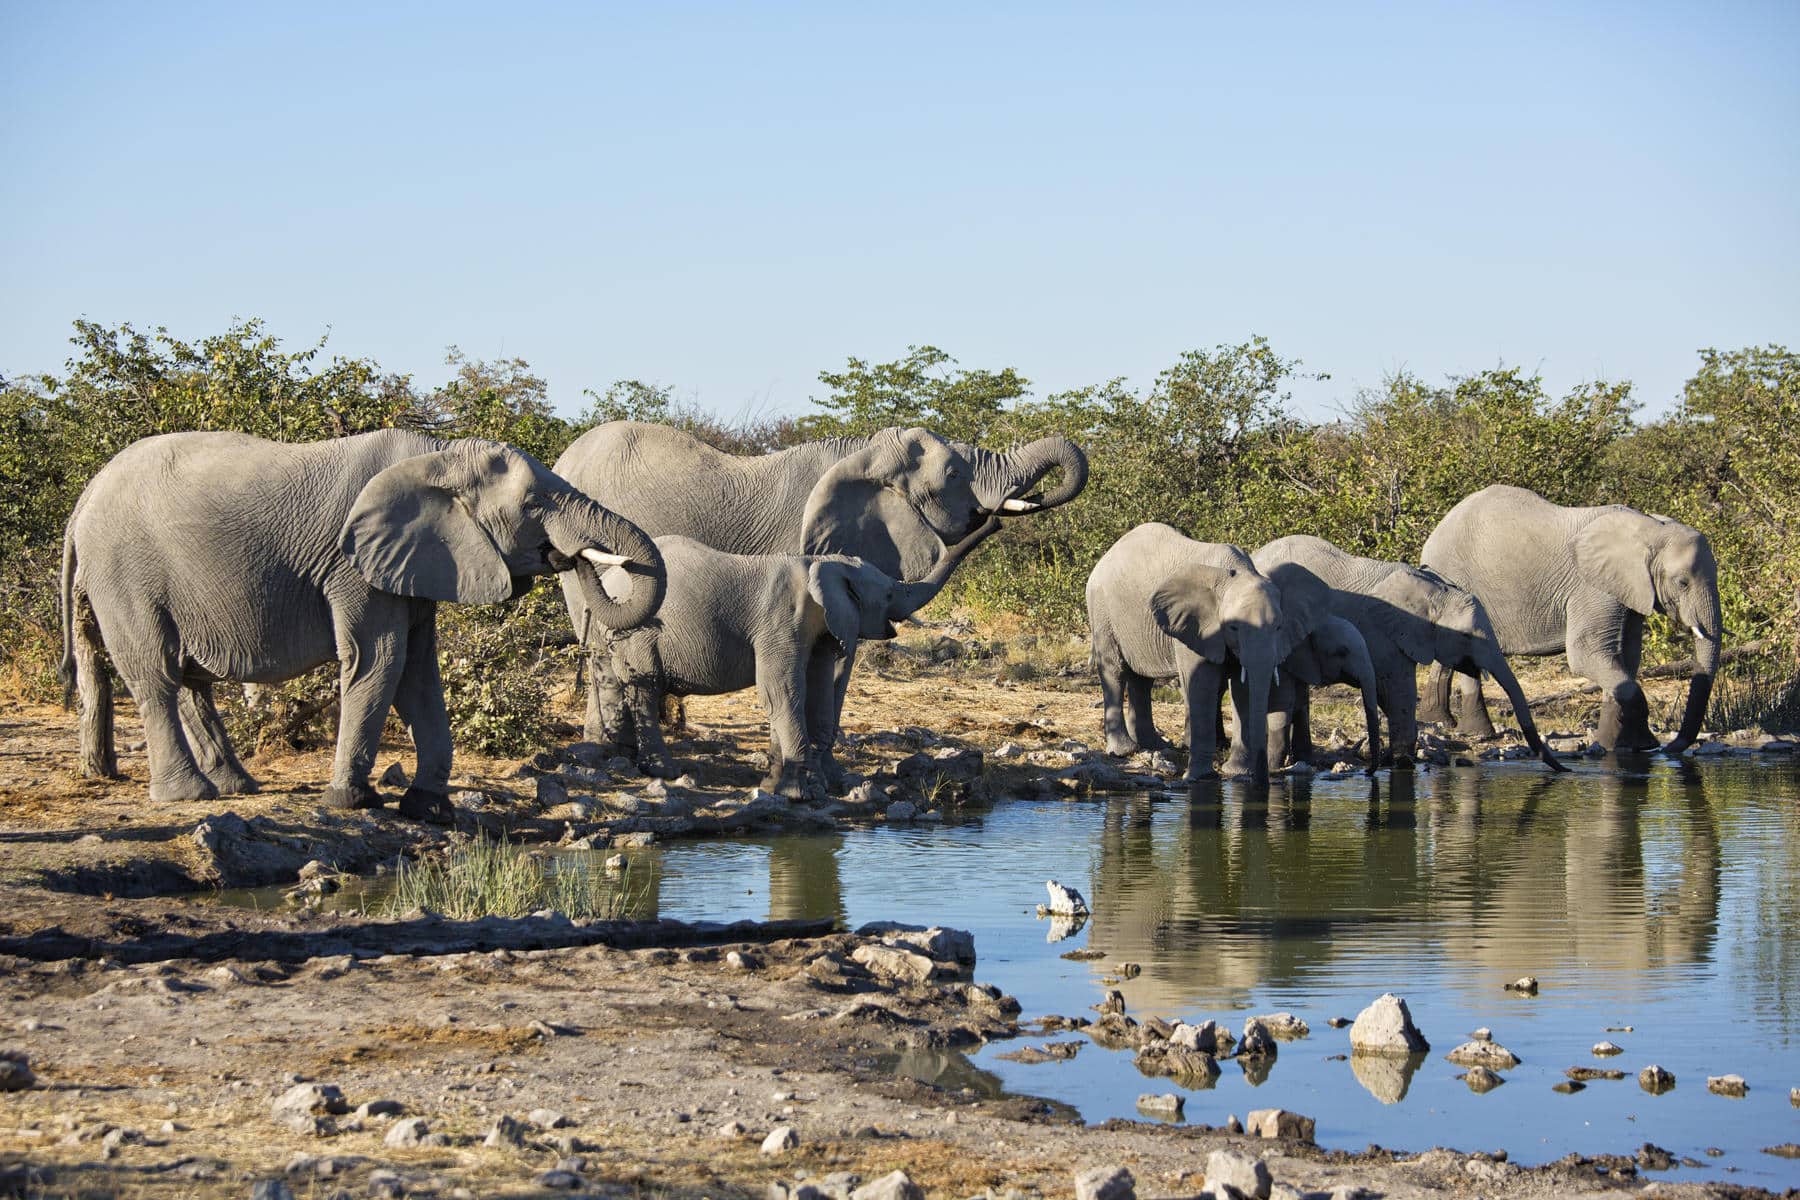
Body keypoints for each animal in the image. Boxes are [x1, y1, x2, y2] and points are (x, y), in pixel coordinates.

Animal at [59, 430, 665, 819]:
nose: (569, 556)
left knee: (189, 676)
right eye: (534, 502)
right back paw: (188, 797)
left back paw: (234, 786)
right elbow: (381, 662)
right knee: (156, 673)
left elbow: (419, 673)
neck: (436, 458)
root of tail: (82, 498)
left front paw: (427, 808)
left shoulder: (417, 561)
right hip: (125, 573)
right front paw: (350, 802)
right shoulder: (354, 565)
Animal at [582, 534, 957, 797]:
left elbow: (812, 690)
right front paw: (799, 794)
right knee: (644, 687)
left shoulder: (821, 626)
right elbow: (781, 691)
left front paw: (779, 787)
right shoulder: (780, 621)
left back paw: (622, 757)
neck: (820, 563)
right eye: (890, 594)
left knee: (613, 680)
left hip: (613, 628)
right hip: (639, 633)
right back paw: (665, 772)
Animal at [1086, 523, 1292, 783]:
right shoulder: (1196, 625)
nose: (1264, 777)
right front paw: (1200, 777)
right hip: (1102, 610)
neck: (1236, 576)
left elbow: (1243, 688)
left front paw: (1237, 773)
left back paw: (1155, 745)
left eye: (1279, 627)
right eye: (1233, 627)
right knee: (1114, 670)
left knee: (1141, 679)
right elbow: (1202, 684)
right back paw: (1124, 751)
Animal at [1252, 535, 1565, 772]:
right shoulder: (1383, 633)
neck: (1436, 590)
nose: (1564, 771)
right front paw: (1402, 762)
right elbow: (1397, 692)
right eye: (1466, 636)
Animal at [1420, 484, 1722, 754]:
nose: (1670, 748)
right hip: (1455, 576)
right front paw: (1638, 745)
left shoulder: (1629, 591)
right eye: (1682, 583)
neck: (1650, 527)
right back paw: (1475, 732)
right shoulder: (1592, 588)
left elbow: (1626, 657)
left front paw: (1617, 746)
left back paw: (1442, 722)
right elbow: (1586, 653)